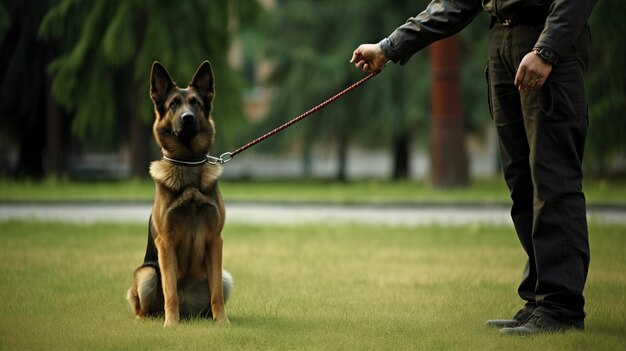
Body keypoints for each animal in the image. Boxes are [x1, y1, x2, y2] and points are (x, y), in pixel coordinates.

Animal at [126, 60, 232, 328]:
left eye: (195, 103)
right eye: (174, 103)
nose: (187, 118)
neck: (188, 164)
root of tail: (189, 312)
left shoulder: (215, 240)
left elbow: (216, 293)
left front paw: (223, 323)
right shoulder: (166, 242)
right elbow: (170, 289)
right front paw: (171, 325)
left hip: (226, 276)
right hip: (146, 273)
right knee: (145, 306)